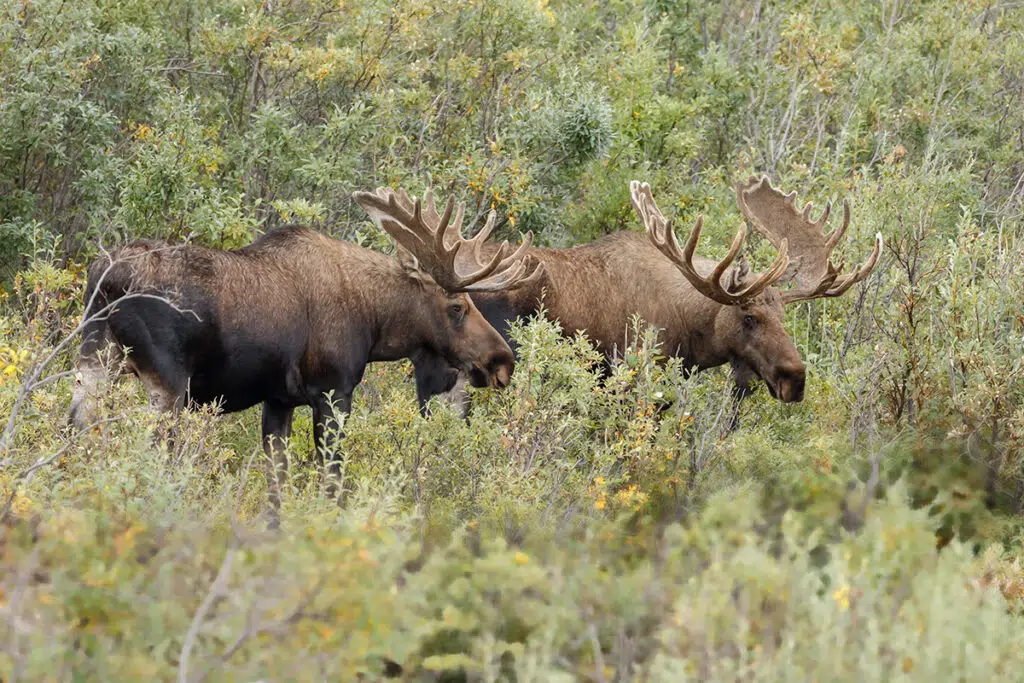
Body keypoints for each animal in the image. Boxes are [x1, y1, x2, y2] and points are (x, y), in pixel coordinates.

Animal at [69, 185, 541, 519]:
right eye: (457, 306)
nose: (502, 362)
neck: (374, 322)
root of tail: (108, 278)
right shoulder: (332, 391)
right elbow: (331, 480)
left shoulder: (279, 400)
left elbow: (277, 485)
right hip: (167, 384)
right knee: (151, 451)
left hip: (94, 359)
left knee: (75, 424)